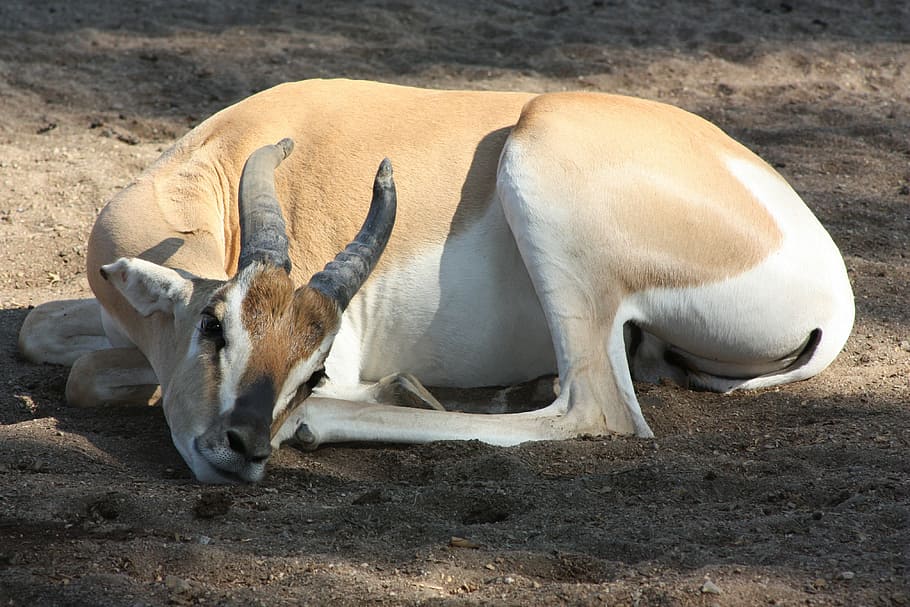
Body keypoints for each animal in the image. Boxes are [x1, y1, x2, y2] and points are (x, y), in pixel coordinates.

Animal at [19, 79, 854, 483]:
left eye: (312, 367)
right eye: (213, 324)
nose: (243, 445)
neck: (221, 167)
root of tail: (832, 286)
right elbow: (42, 335)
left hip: (538, 170)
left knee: (599, 409)